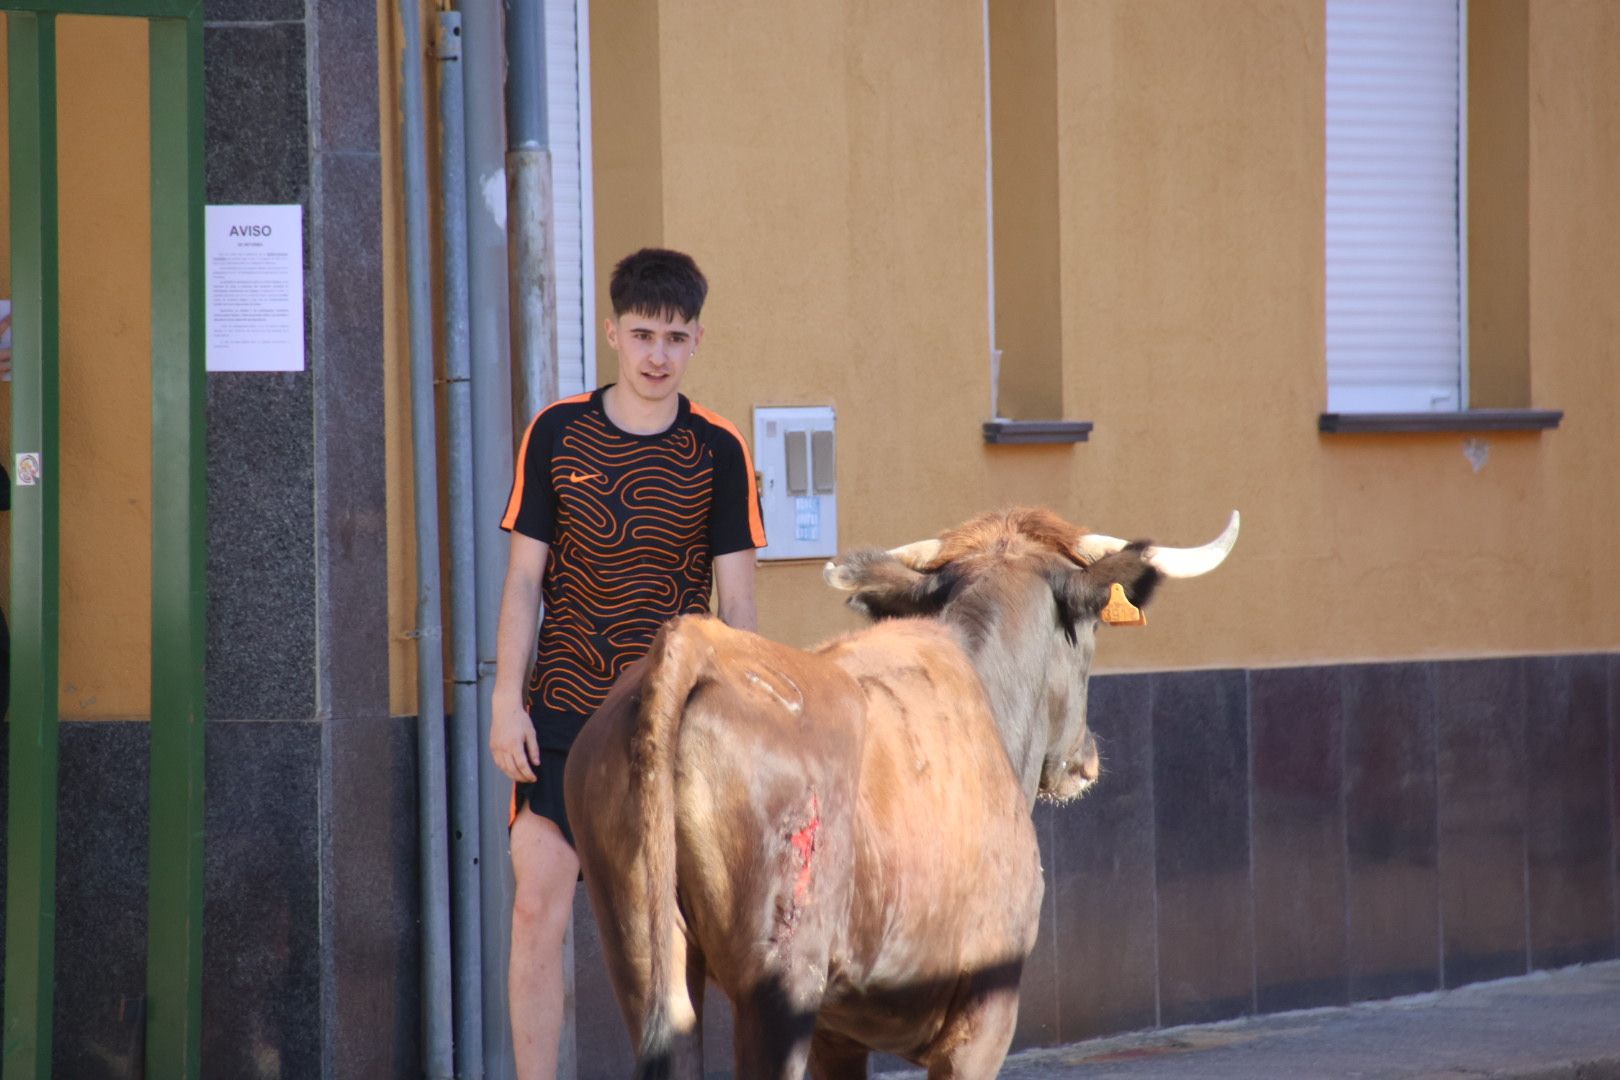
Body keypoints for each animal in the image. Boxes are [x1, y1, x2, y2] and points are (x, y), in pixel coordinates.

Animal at [563, 508, 1231, 1080]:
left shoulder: (838, 1033)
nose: (1085, 760)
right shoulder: (985, 1015)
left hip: (644, 959)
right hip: (779, 982)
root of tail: (697, 645)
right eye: (1090, 633)